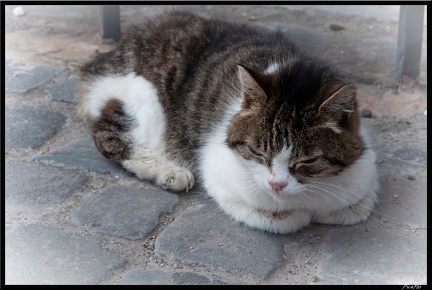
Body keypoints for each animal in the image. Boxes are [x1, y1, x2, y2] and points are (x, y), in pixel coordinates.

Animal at [77, 11, 378, 233]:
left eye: (308, 161)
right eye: (258, 153)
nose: (277, 185)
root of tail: (115, 52)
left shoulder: (365, 178)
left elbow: (355, 209)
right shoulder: (221, 178)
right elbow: (284, 218)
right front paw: (300, 215)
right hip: (147, 105)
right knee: (106, 133)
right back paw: (167, 170)